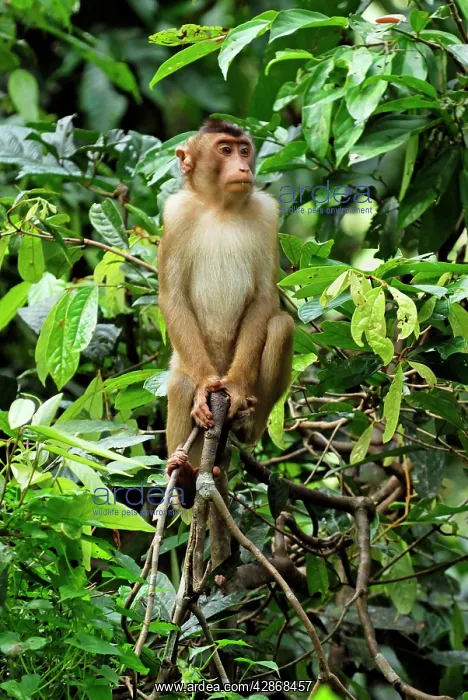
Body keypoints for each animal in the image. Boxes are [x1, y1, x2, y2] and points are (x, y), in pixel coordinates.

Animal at [158, 118, 294, 507]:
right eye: (225, 150)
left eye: (244, 150)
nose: (243, 167)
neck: (220, 206)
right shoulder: (175, 214)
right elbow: (173, 296)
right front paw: (206, 385)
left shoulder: (267, 213)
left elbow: (264, 298)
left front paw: (232, 388)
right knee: (180, 382)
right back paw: (186, 479)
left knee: (281, 325)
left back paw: (246, 422)